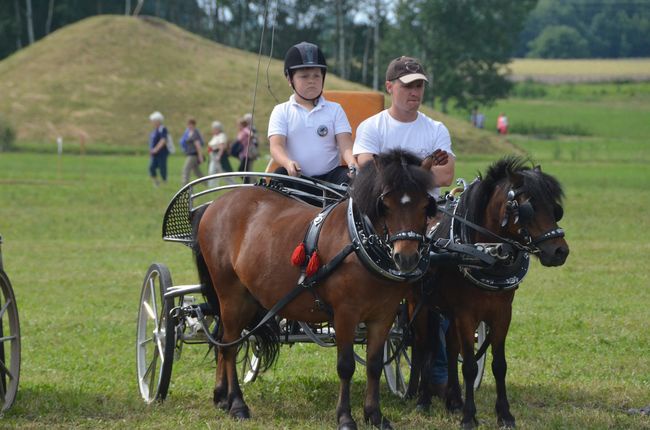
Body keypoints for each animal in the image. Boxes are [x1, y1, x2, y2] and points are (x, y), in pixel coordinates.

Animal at [192, 149, 436, 428]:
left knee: (224, 340)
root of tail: (215, 204)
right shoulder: (345, 313)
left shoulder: (383, 316)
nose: (406, 258)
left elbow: (374, 365)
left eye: (425, 205)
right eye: (384, 205)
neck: (358, 242)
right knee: (230, 345)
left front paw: (374, 415)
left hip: (246, 298)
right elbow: (346, 366)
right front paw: (345, 417)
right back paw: (237, 404)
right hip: (231, 294)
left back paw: (221, 397)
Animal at [410, 156, 568, 428]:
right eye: (530, 207)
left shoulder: (502, 313)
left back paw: (453, 400)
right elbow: (470, 366)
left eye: (555, 208)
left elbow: (499, 365)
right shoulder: (466, 314)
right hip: (420, 305)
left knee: (450, 347)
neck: (485, 252)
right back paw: (422, 399)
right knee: (424, 345)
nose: (560, 251)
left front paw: (504, 414)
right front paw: (469, 417)